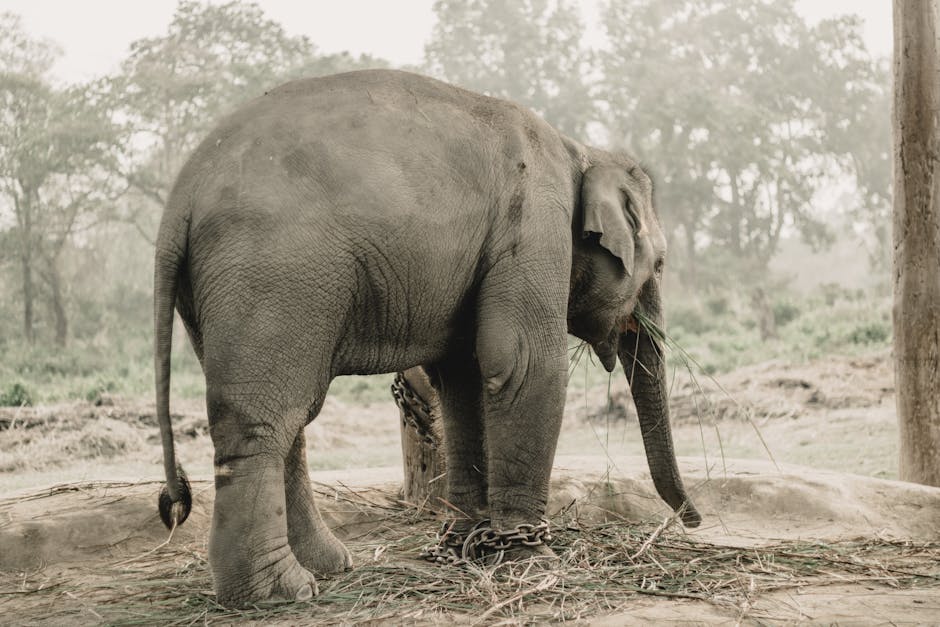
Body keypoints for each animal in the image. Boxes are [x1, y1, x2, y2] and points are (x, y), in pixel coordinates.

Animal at [154, 69, 701, 607]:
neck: (580, 150)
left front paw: (466, 545)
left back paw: (327, 566)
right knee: (263, 421)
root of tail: (180, 196)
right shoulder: (534, 223)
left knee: (288, 419)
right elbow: (524, 364)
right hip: (274, 273)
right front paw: (532, 560)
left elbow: (463, 377)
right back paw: (278, 593)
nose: (692, 521)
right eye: (660, 264)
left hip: (221, 294)